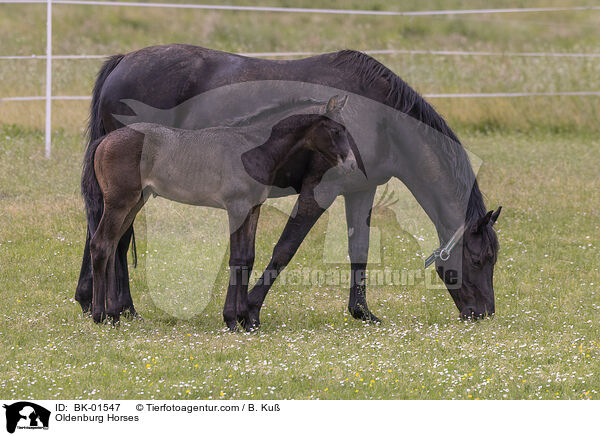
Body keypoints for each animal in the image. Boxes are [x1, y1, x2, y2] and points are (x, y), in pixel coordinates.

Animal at [76, 44, 502, 328]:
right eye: (481, 259)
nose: (483, 314)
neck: (380, 118)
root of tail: (123, 61)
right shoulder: (319, 191)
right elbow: (284, 249)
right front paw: (249, 309)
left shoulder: (360, 190)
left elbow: (359, 250)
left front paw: (362, 312)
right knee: (114, 237)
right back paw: (118, 308)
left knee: (108, 234)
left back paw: (101, 304)